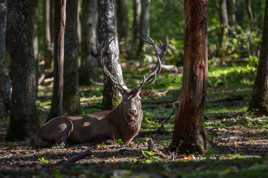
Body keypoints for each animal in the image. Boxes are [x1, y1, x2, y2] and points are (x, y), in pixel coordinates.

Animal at [32, 37, 169, 146]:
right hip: (64, 124)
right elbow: (108, 140)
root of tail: (37, 133)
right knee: (59, 143)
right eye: (124, 100)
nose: (132, 111)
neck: (125, 133)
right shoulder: (98, 132)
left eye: (139, 99)